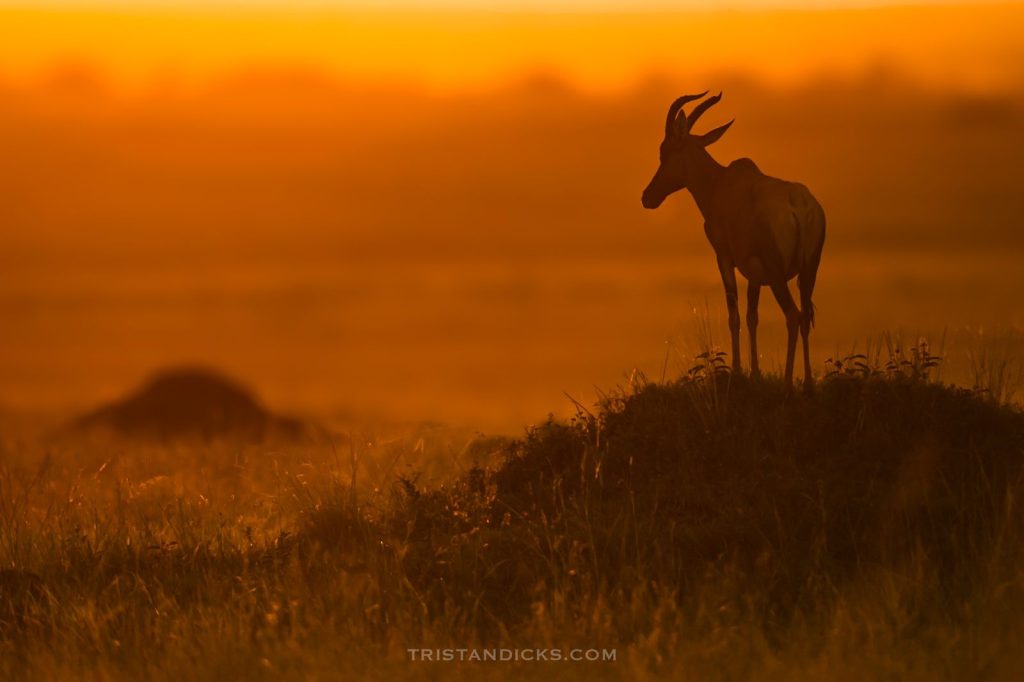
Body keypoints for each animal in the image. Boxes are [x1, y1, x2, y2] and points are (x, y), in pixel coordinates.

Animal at [641, 92, 825, 391]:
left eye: (664, 151)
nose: (648, 197)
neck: (720, 183)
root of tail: (798, 204)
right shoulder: (754, 272)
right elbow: (752, 316)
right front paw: (755, 373)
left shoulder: (725, 257)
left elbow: (734, 314)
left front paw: (739, 370)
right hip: (810, 270)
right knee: (805, 317)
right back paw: (808, 385)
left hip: (778, 275)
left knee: (793, 315)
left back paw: (788, 384)